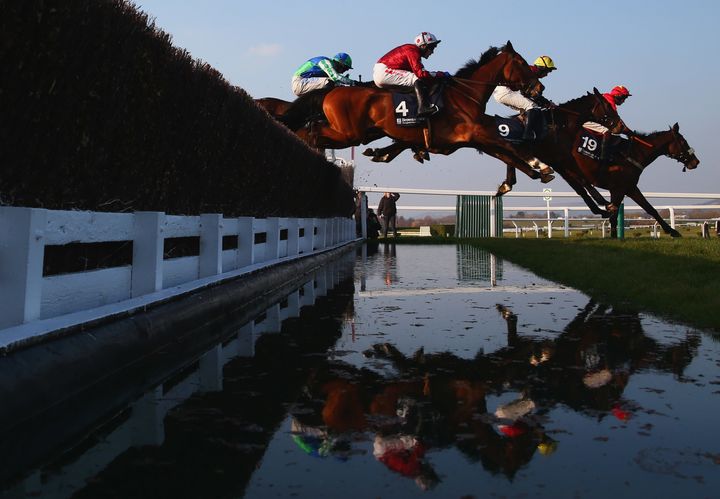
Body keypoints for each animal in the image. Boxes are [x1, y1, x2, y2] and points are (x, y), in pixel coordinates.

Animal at [278, 41, 556, 186]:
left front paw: (536, 171)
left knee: (311, 130)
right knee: (312, 131)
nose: (539, 88)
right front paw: (540, 165)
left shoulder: (474, 139)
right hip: (349, 132)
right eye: (522, 63)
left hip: (356, 132)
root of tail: (332, 90)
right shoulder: (477, 134)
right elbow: (509, 147)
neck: (465, 95)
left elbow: (505, 153)